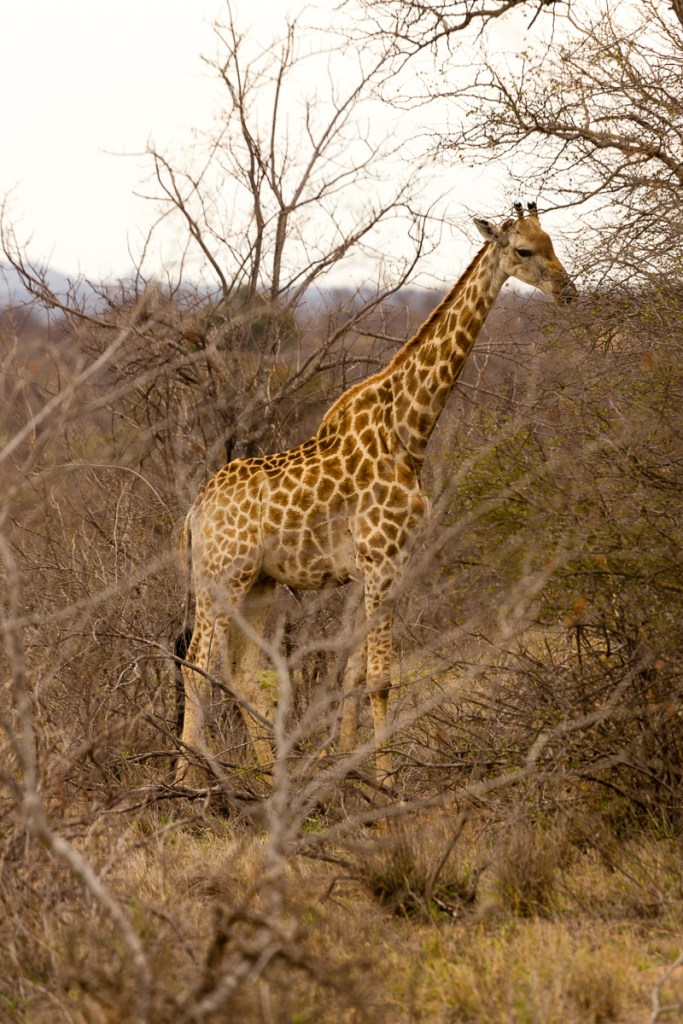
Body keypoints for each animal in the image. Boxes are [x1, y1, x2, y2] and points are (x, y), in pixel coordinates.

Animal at [176, 203, 575, 784]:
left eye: (552, 243)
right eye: (524, 250)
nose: (568, 289)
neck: (410, 431)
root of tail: (194, 511)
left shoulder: (380, 565)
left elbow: (356, 676)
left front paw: (350, 773)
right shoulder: (384, 558)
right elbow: (383, 677)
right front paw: (388, 784)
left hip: (258, 585)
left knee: (240, 675)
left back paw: (271, 780)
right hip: (219, 578)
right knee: (196, 669)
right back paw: (185, 787)